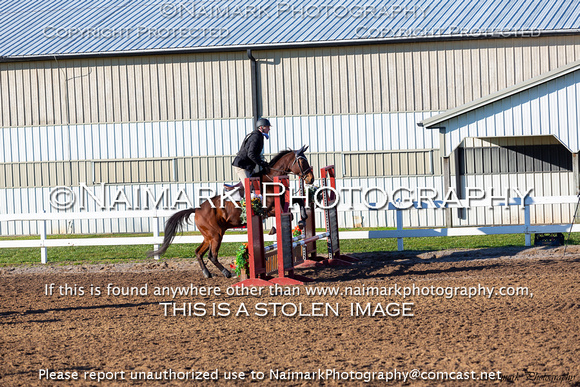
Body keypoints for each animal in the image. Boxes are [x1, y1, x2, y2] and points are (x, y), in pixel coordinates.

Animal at [147, 146, 314, 278]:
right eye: (302, 161)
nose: (310, 179)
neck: (270, 179)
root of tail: (197, 209)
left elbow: (298, 201)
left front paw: (302, 219)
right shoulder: (269, 209)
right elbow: (290, 211)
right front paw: (291, 223)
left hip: (209, 236)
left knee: (199, 252)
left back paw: (207, 273)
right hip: (216, 235)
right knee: (212, 255)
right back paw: (227, 273)